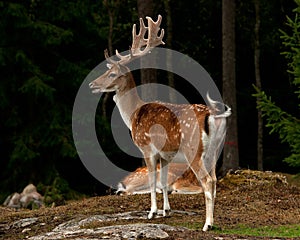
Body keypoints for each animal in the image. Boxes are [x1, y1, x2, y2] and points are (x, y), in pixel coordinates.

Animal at [88, 14, 230, 231]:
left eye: (112, 74)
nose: (92, 84)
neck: (133, 114)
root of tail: (214, 115)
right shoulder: (165, 154)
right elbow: (163, 181)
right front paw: (166, 211)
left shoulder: (147, 148)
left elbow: (153, 180)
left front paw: (152, 212)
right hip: (214, 151)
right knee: (214, 181)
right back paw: (212, 221)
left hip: (193, 150)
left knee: (206, 181)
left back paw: (207, 224)